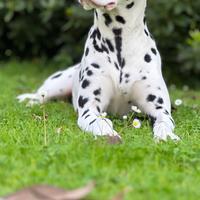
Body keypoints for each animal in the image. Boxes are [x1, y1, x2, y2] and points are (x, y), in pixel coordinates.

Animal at [17, 0, 180, 141]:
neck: (119, 41)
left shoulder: (159, 108)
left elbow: (164, 121)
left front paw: (166, 135)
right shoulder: (89, 109)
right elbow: (100, 122)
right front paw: (108, 134)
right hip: (57, 84)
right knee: (40, 95)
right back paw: (29, 101)